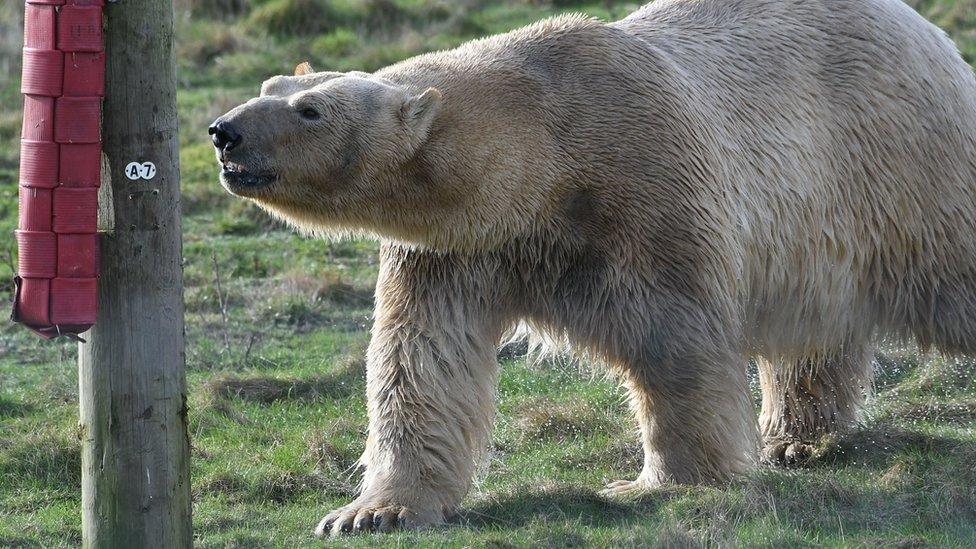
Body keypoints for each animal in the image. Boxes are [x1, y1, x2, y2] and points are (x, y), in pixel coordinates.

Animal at [208, 0, 976, 536]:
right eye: (270, 84)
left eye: (311, 109)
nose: (224, 131)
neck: (543, 152)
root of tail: (923, 29)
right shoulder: (453, 248)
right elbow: (421, 358)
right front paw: (372, 511)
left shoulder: (648, 188)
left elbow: (676, 340)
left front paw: (666, 481)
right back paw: (793, 438)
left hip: (899, 163)